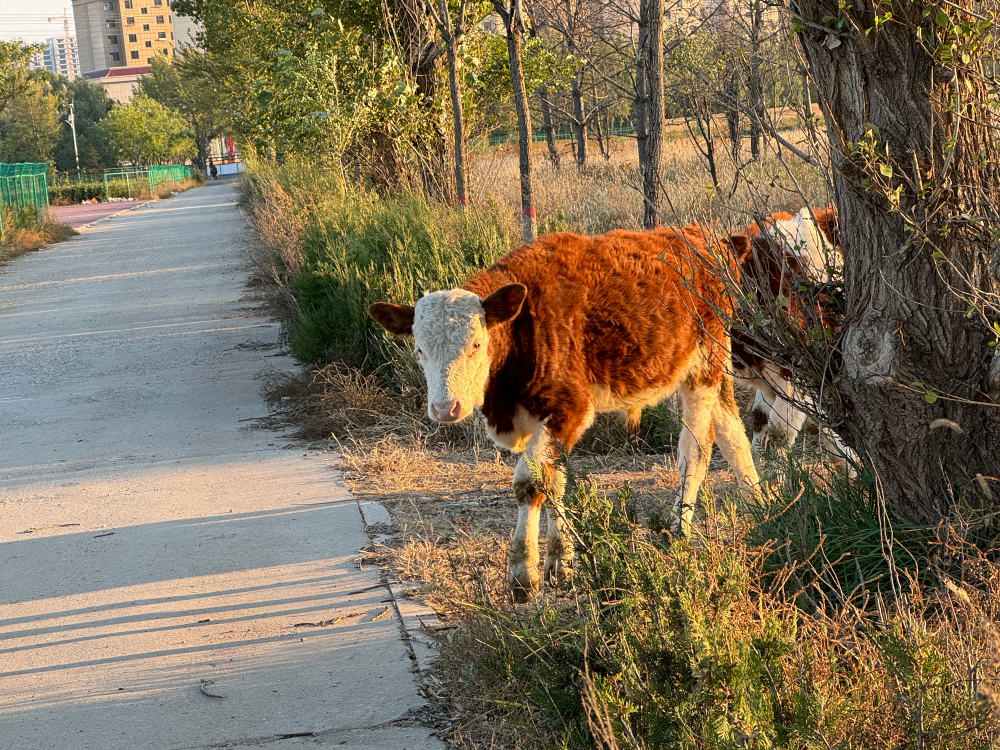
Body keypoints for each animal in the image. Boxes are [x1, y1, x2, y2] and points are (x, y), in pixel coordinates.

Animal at [374, 222, 756, 600]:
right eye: (419, 350)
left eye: (477, 345)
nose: (444, 408)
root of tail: (704, 236)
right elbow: (554, 481)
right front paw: (560, 562)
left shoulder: (569, 408)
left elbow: (530, 482)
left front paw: (523, 574)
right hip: (715, 367)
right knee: (733, 434)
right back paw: (760, 504)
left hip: (703, 367)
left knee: (695, 452)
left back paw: (678, 532)